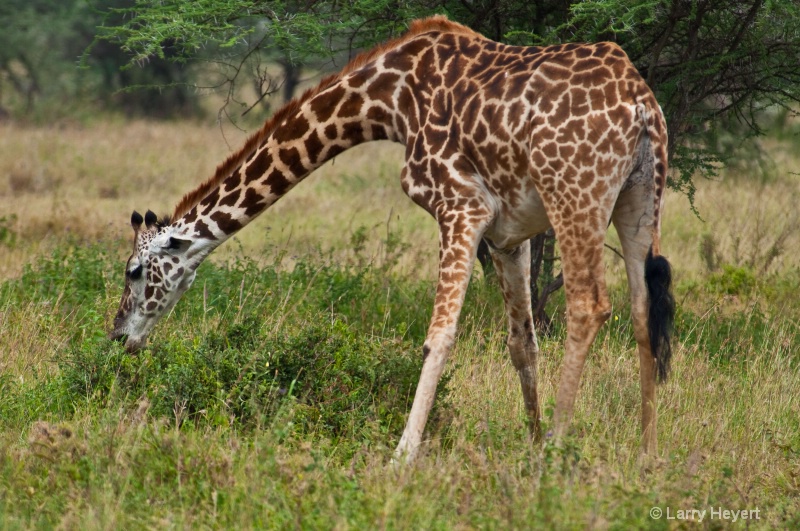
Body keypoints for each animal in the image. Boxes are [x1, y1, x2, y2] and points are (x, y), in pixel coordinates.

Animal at [111, 15, 676, 462]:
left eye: (133, 272)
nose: (118, 337)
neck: (389, 102)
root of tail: (641, 105)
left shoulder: (461, 205)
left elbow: (439, 336)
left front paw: (403, 455)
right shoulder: (509, 233)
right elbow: (523, 342)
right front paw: (530, 444)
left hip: (575, 194)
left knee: (589, 304)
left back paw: (561, 452)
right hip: (639, 199)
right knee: (641, 310)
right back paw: (646, 455)